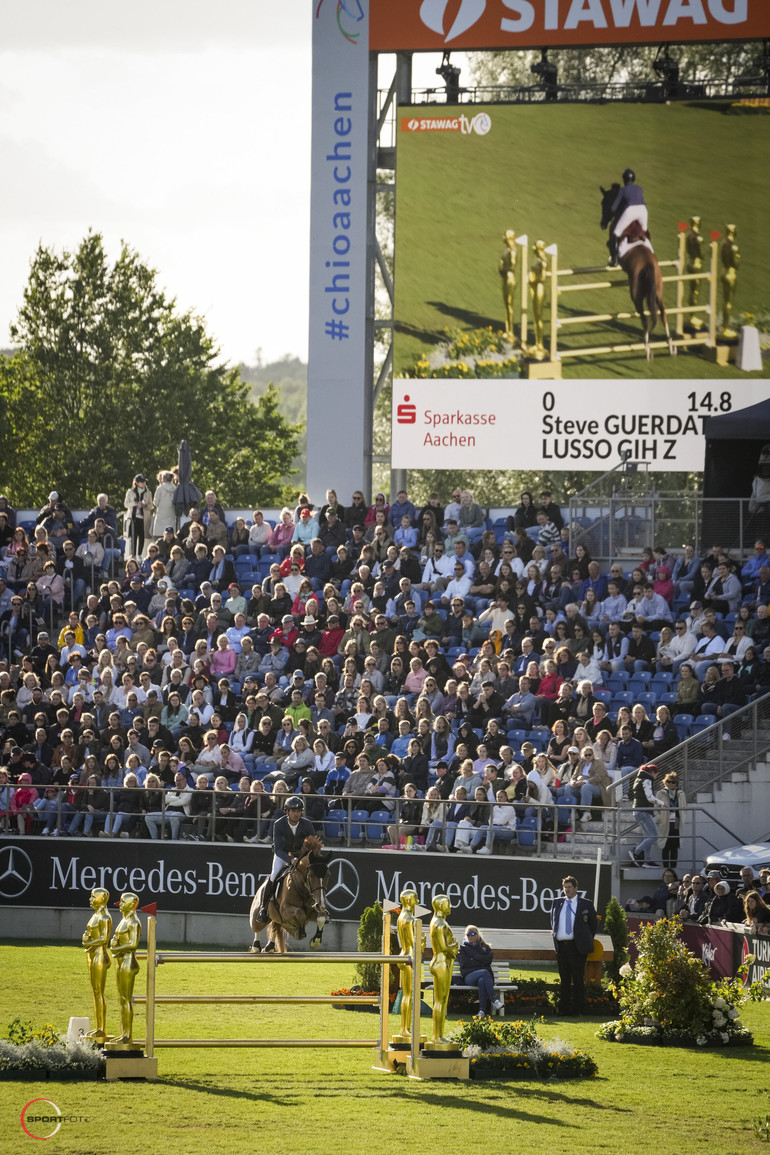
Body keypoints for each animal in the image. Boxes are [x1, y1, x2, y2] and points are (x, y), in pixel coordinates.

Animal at [600, 182, 674, 360]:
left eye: (604, 203)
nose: (602, 224)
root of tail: (649, 265)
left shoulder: (613, 236)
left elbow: (610, 243)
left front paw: (611, 261)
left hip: (636, 293)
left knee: (644, 317)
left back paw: (647, 347)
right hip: (658, 291)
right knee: (663, 314)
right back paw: (670, 345)